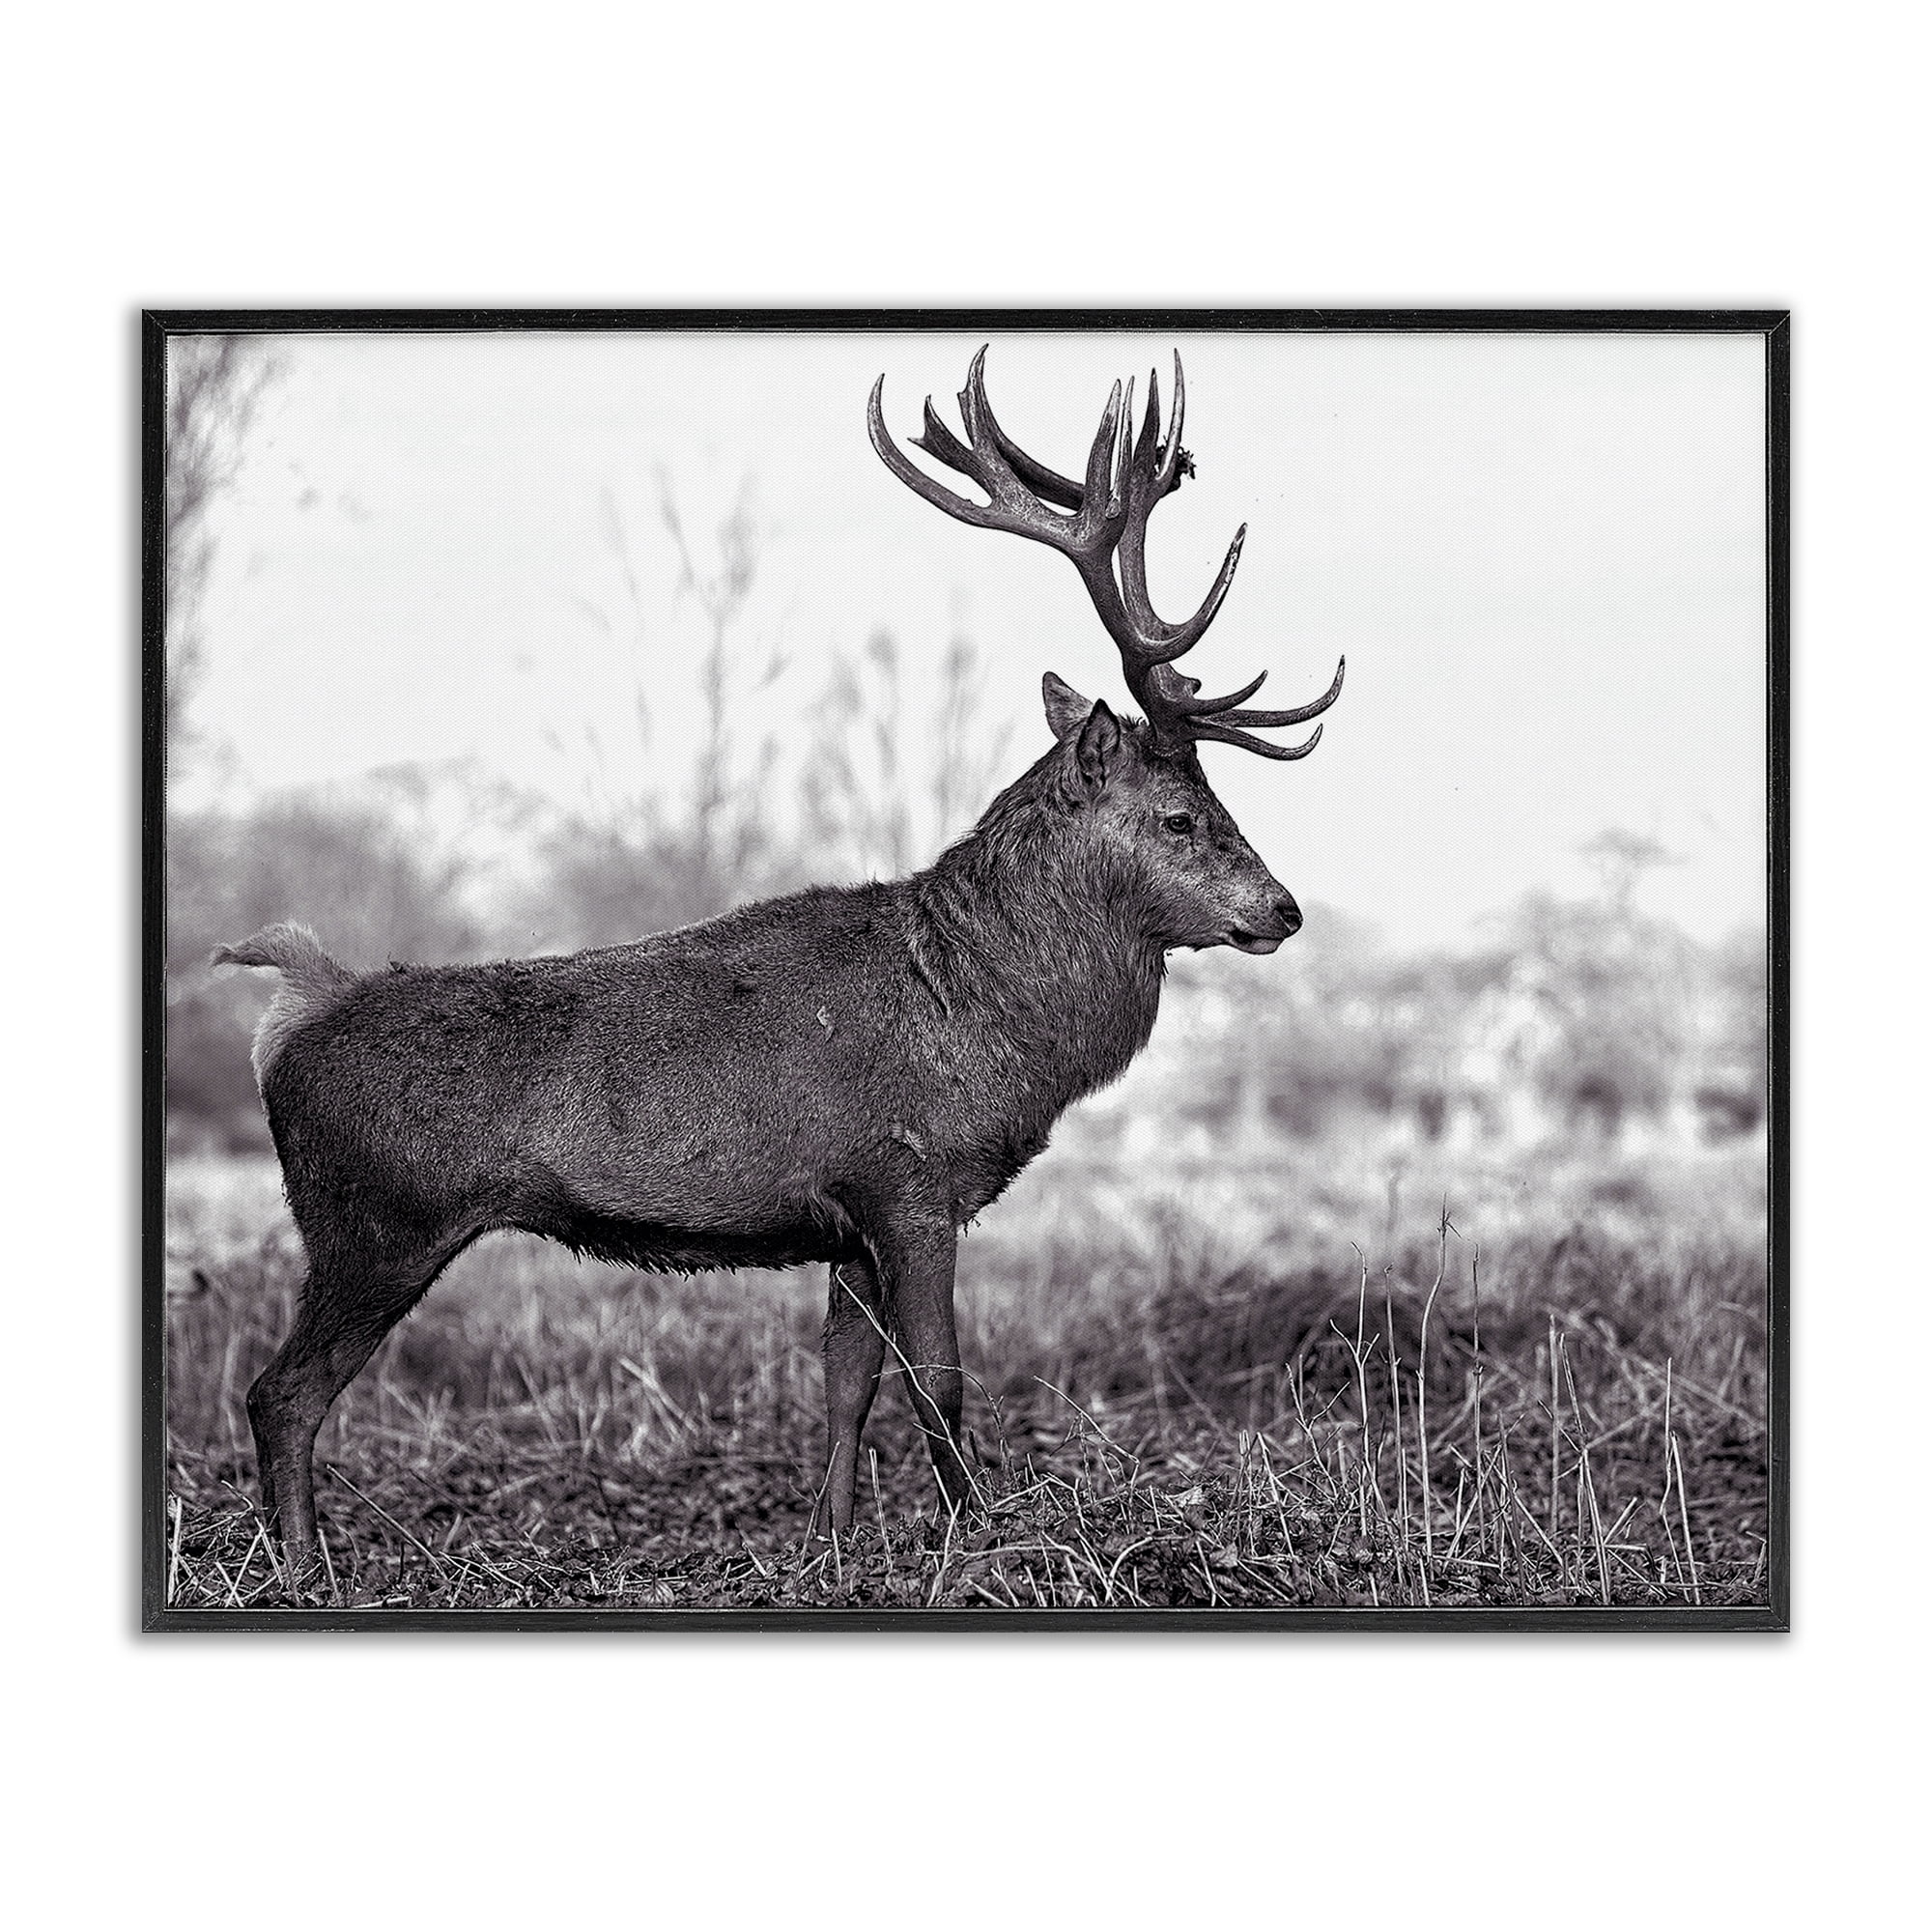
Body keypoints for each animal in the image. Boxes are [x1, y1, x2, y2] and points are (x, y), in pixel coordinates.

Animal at [212, 347, 1343, 1576]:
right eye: (1182, 816)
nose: (1282, 910)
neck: (989, 1015)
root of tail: (291, 1013)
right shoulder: (910, 1179)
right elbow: (937, 1379)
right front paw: (976, 1539)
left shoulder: (843, 1218)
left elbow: (845, 1381)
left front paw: (832, 1542)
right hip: (372, 1221)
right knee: (279, 1393)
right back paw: (303, 1566)